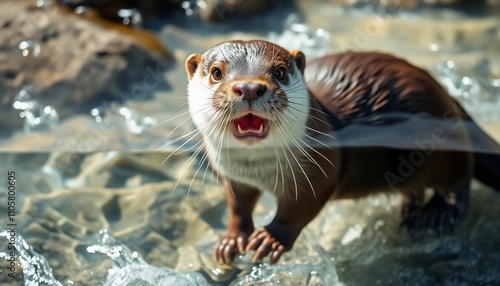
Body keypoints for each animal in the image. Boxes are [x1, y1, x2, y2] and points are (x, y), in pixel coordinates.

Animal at [185, 40, 500, 266]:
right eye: (216, 72)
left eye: (279, 72)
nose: (248, 87)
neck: (260, 172)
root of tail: (447, 95)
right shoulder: (232, 174)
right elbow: (238, 206)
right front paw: (231, 239)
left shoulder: (320, 167)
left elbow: (299, 207)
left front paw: (271, 238)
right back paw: (409, 207)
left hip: (441, 146)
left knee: (460, 179)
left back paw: (437, 212)